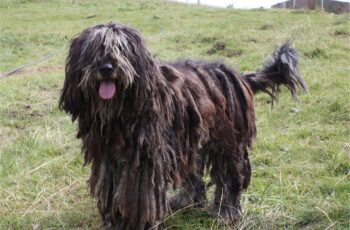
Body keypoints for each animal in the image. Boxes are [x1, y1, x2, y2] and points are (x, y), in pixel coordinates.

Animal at [59, 22, 306, 229]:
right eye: (93, 50)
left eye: (122, 48)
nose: (107, 68)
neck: (120, 114)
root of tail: (239, 76)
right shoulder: (109, 158)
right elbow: (114, 190)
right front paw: (116, 220)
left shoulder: (145, 160)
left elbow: (139, 196)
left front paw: (138, 223)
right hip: (190, 140)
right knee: (193, 174)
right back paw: (185, 201)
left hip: (226, 140)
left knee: (230, 176)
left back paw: (226, 212)